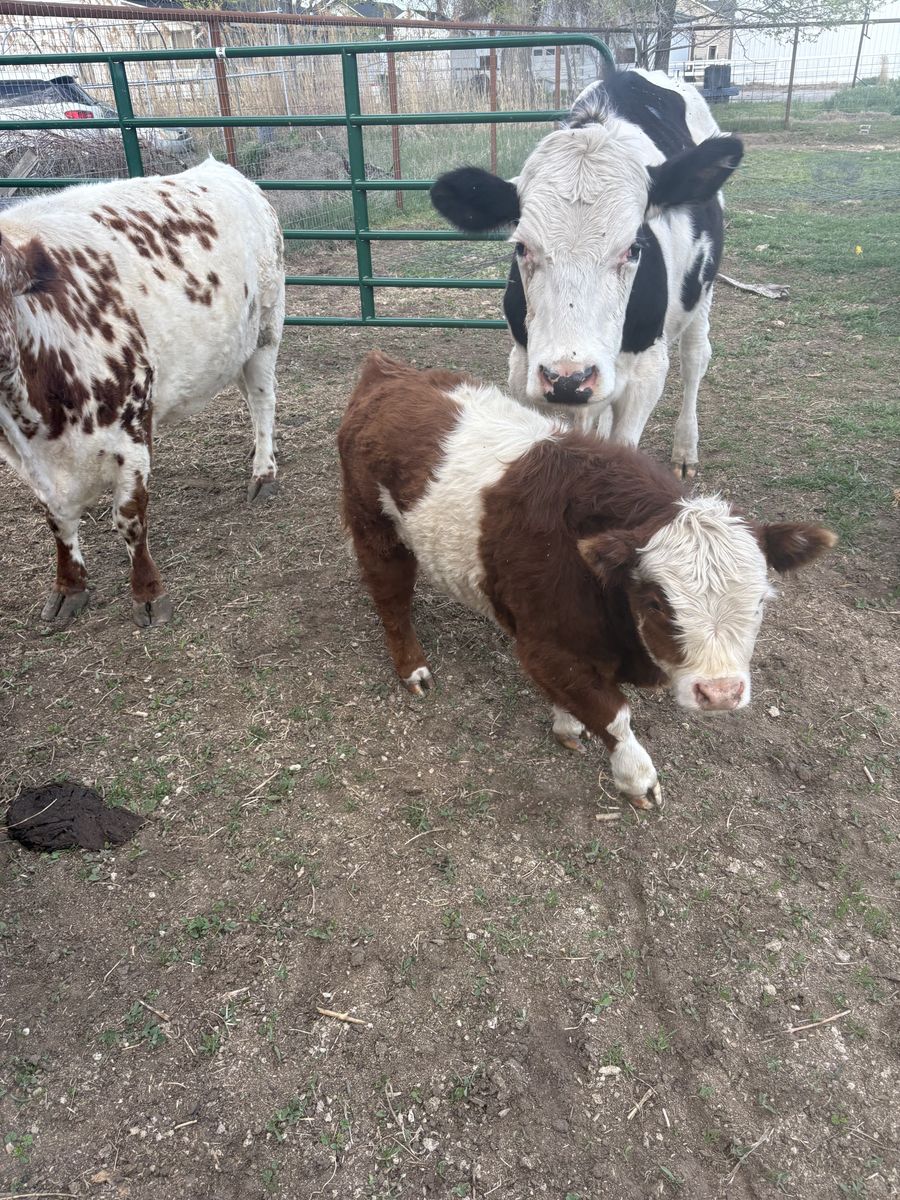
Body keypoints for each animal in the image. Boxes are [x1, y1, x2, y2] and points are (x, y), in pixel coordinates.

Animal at [0, 158, 284, 628]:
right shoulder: (26, 458)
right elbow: (57, 520)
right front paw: (69, 587)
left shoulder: (130, 428)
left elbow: (130, 516)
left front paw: (147, 592)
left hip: (265, 328)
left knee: (262, 399)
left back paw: (263, 470)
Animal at [338, 354, 836, 812]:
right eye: (656, 603)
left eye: (760, 602)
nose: (720, 694)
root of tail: (387, 371)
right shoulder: (543, 646)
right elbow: (615, 717)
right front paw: (637, 779)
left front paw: (567, 723)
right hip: (375, 530)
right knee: (392, 599)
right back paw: (413, 669)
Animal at [430, 68, 743, 478]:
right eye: (521, 246)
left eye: (634, 248)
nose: (569, 378)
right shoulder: (523, 367)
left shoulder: (648, 370)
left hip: (701, 294)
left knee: (695, 358)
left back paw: (685, 450)